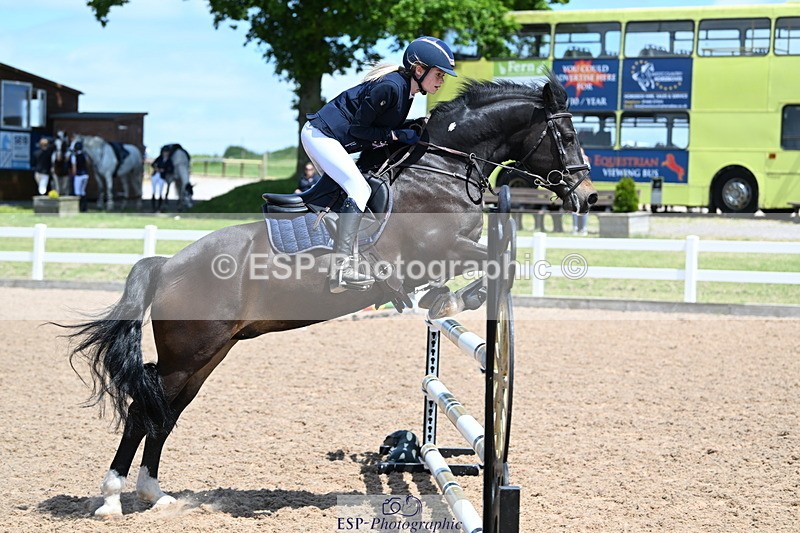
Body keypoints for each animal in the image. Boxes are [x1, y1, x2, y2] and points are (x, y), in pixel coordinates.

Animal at [61, 74, 597, 517]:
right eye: (569, 136)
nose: (588, 196)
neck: (440, 170)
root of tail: (166, 265)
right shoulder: (440, 249)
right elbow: (499, 261)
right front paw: (453, 300)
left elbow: (496, 262)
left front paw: (443, 299)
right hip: (189, 352)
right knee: (143, 410)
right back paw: (112, 500)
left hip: (207, 354)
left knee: (165, 412)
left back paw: (156, 495)